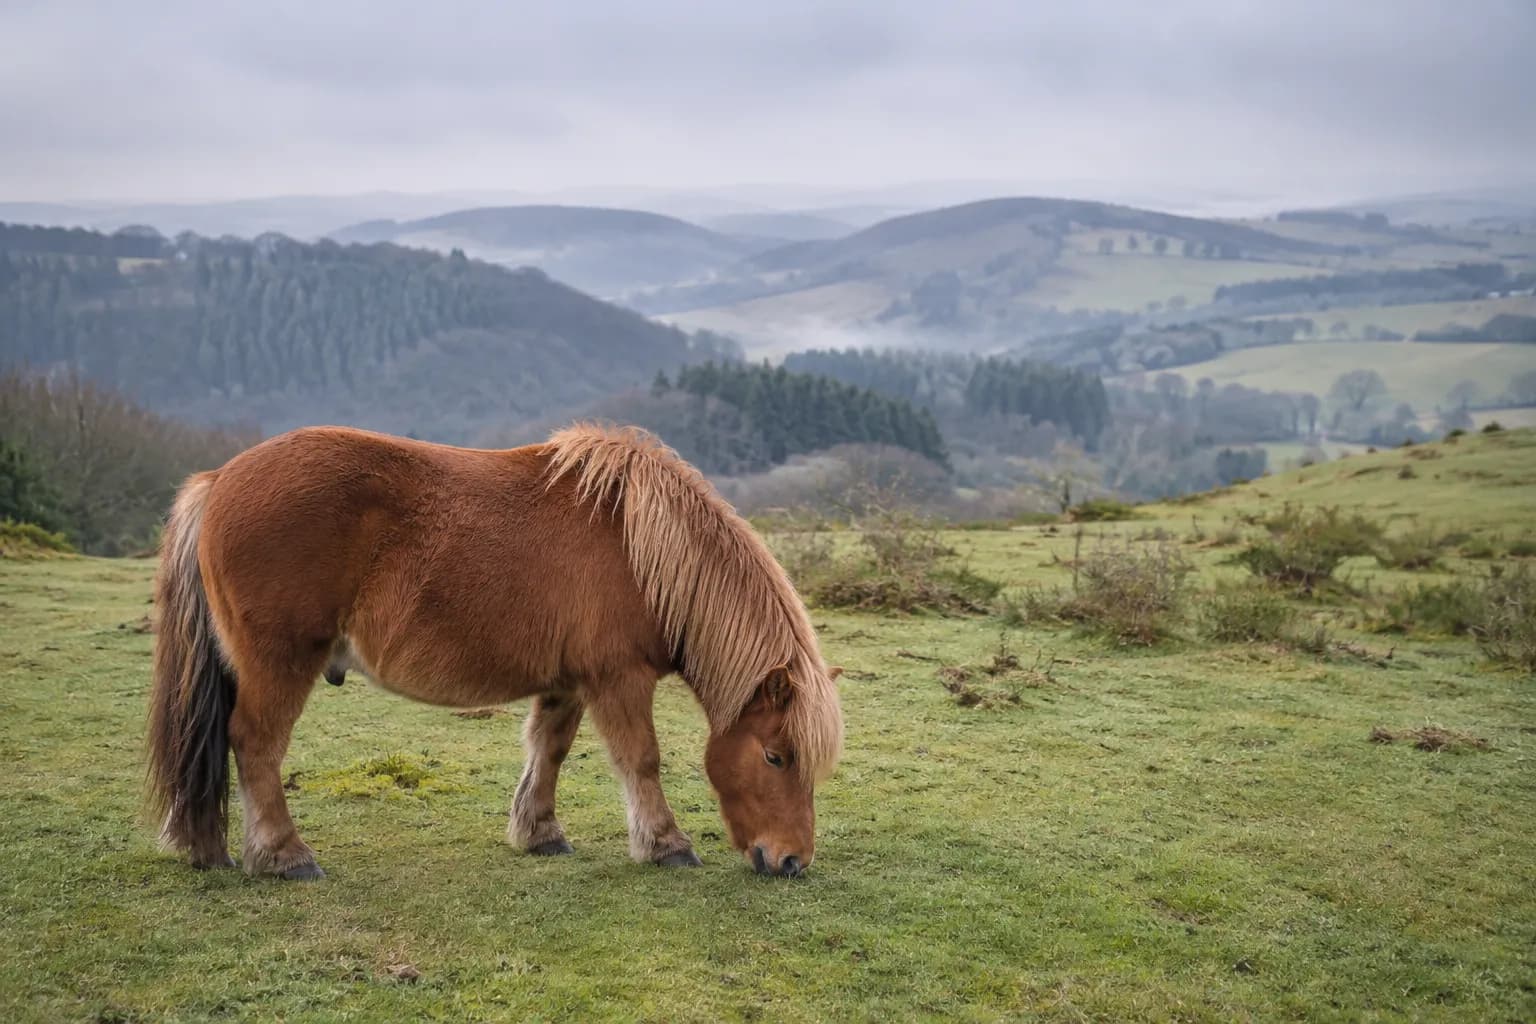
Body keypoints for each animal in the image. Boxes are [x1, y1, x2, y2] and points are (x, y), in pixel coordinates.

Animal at [146, 424, 843, 880]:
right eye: (776, 757)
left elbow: (548, 750)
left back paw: (211, 849)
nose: (793, 861)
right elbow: (641, 760)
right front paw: (665, 844)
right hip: (281, 662)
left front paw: (539, 833)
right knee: (255, 743)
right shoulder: (618, 679)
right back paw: (284, 856)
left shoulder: (568, 681)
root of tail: (219, 479)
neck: (642, 547)